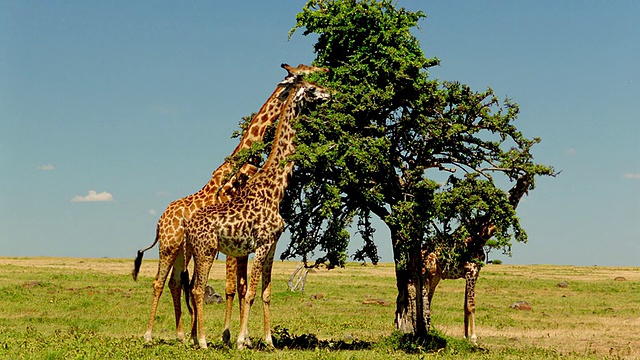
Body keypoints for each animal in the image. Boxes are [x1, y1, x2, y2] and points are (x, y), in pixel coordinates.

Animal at [131, 64, 320, 344]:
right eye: (304, 72)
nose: (324, 70)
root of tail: (160, 219)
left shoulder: (242, 246)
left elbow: (241, 287)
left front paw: (243, 337)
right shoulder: (239, 246)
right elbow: (235, 287)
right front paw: (231, 336)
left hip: (183, 252)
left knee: (177, 283)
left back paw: (183, 335)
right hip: (170, 245)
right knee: (161, 283)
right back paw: (151, 335)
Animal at [422, 174, 532, 344]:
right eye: (522, 180)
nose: (529, 180)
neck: (481, 236)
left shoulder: (474, 273)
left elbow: (465, 305)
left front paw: (465, 336)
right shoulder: (471, 271)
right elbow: (471, 305)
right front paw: (474, 338)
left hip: (436, 276)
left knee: (428, 299)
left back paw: (428, 330)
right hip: (428, 272)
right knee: (424, 301)